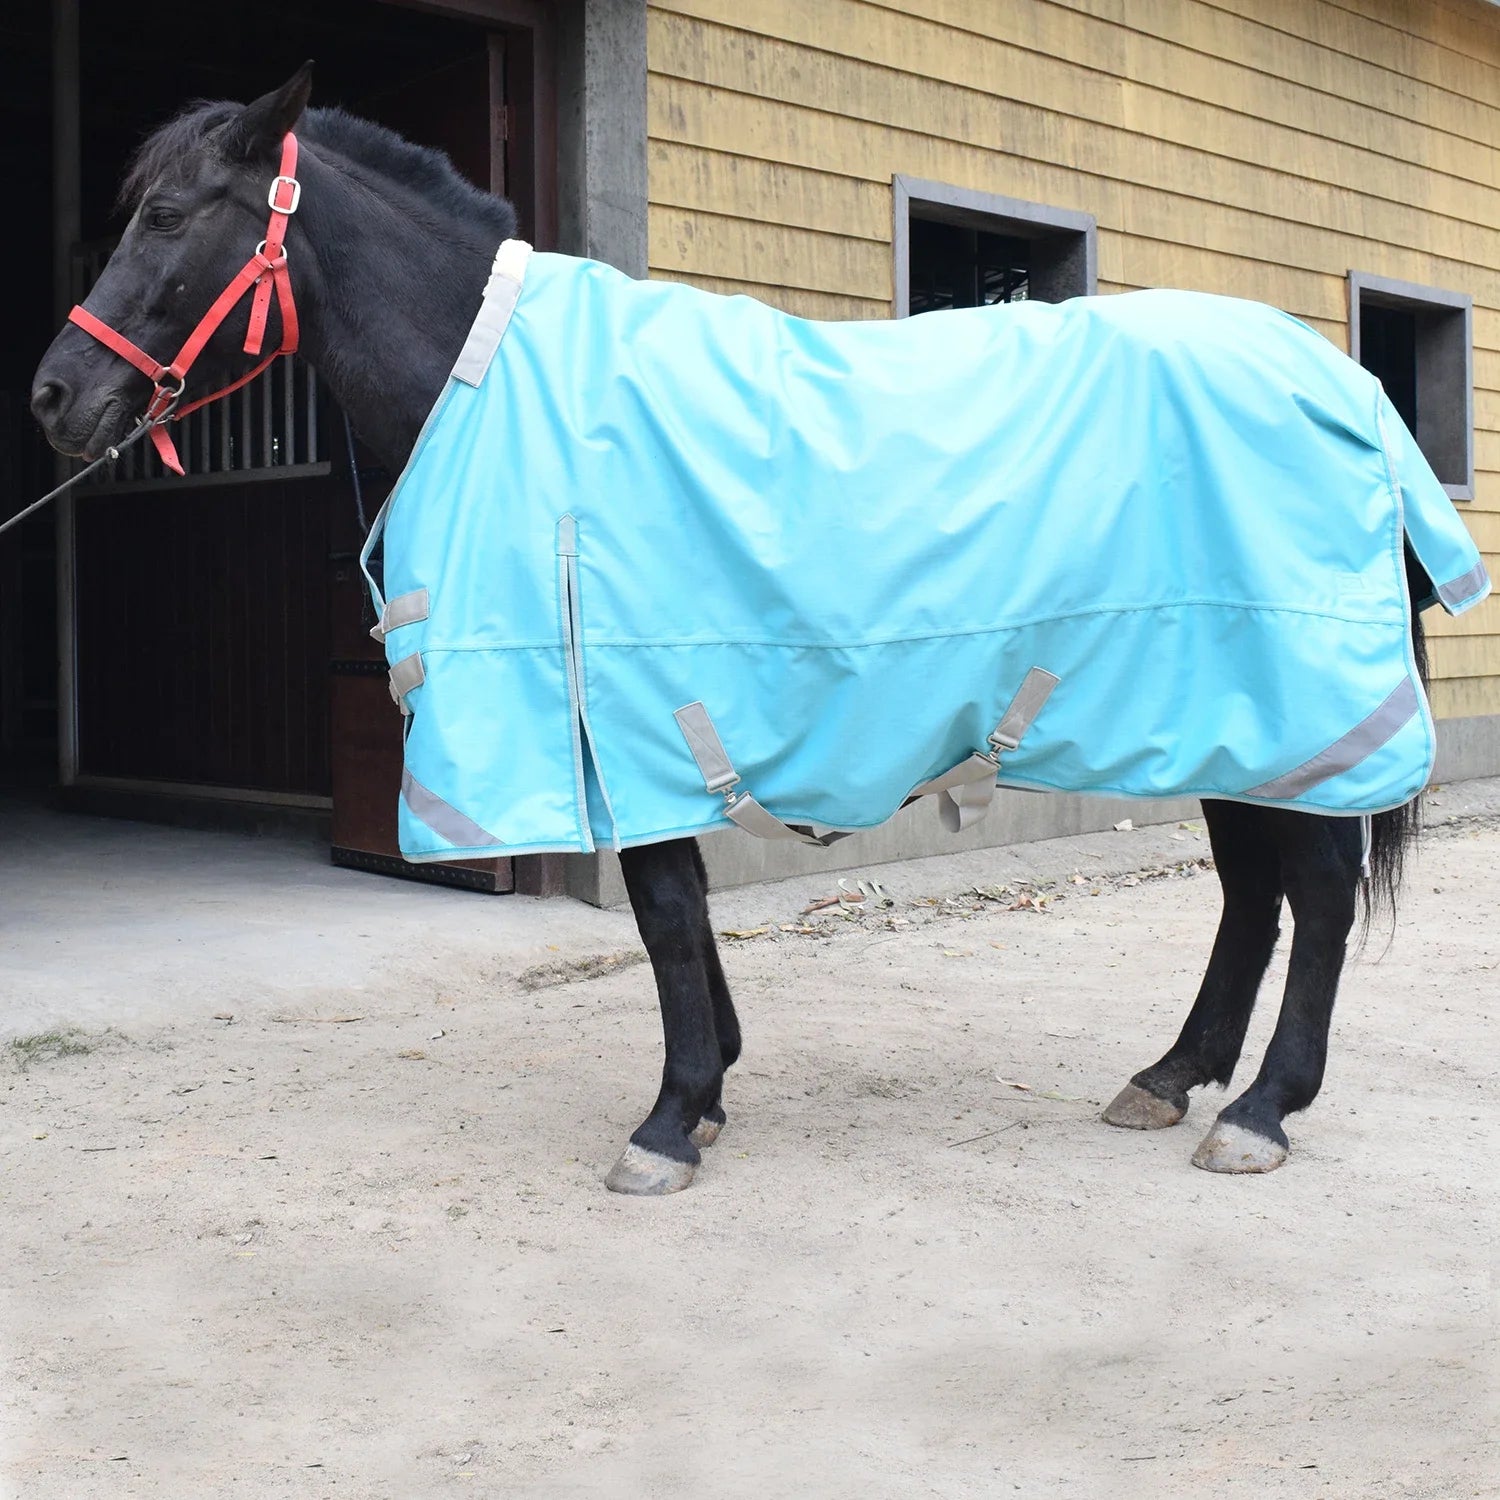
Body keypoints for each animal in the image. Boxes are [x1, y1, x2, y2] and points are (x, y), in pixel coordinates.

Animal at [30, 65, 1436, 1193]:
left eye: (166, 217)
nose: (54, 396)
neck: (502, 381)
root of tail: (1340, 383)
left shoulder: (628, 706)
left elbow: (662, 906)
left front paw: (669, 1118)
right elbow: (686, 904)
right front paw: (707, 1091)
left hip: (1291, 705)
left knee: (1311, 894)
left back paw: (1260, 1111)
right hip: (1228, 722)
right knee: (1252, 895)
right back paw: (1172, 1076)